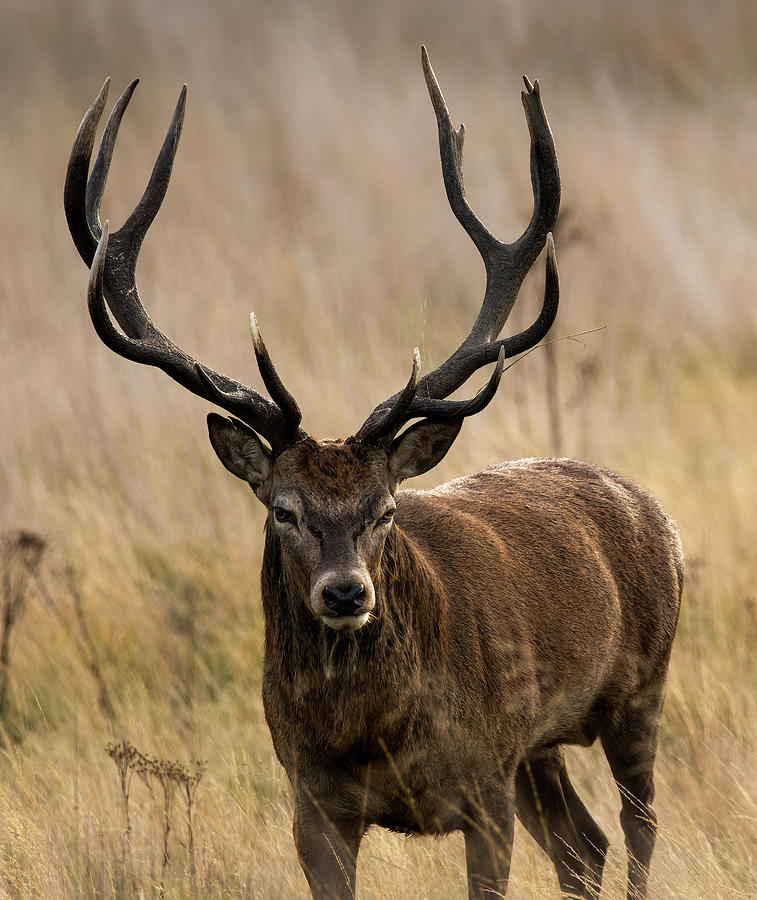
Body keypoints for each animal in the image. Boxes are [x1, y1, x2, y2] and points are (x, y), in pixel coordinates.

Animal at [63, 49, 680, 900]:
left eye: (385, 508)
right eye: (283, 510)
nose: (346, 593)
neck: (372, 735)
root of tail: (652, 509)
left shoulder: (483, 784)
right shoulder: (312, 803)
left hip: (639, 689)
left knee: (639, 826)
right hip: (539, 747)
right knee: (582, 845)